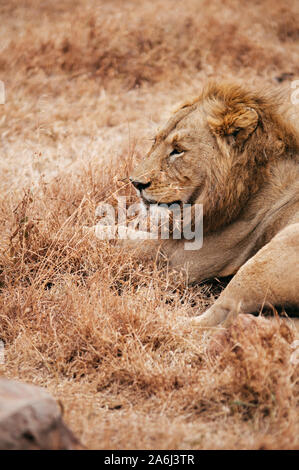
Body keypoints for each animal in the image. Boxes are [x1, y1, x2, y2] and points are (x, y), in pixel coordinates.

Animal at [98, 81, 299, 328]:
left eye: (178, 150)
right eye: (155, 141)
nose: (136, 183)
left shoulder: (182, 258)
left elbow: (126, 238)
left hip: (268, 258)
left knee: (215, 316)